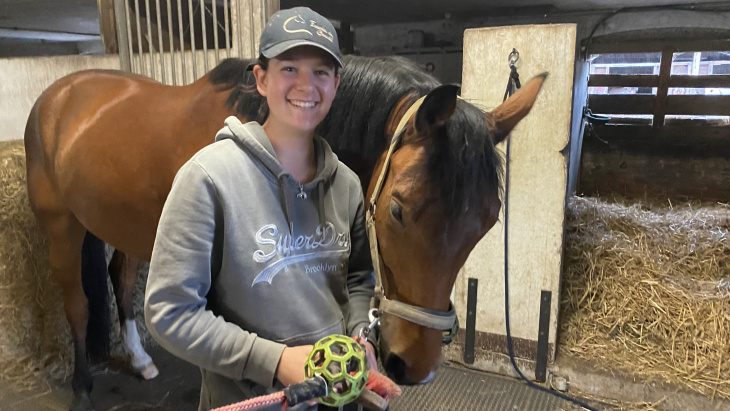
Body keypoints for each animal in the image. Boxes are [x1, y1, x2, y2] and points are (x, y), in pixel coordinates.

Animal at [24, 55, 545, 410]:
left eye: (488, 222)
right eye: (398, 210)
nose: (412, 365)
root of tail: (61, 92)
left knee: (121, 278)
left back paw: (140, 359)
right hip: (61, 226)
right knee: (77, 304)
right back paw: (82, 389)